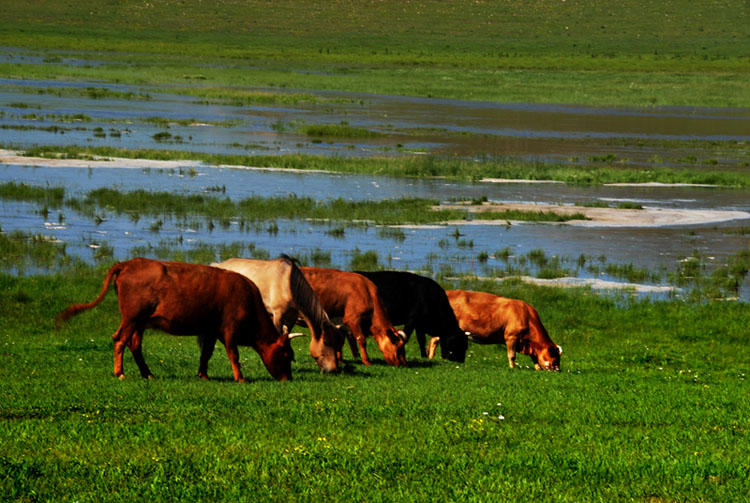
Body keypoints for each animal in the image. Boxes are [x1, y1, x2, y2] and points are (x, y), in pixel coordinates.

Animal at [55, 260, 296, 382]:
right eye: (287, 355)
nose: (288, 378)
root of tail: (129, 263)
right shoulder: (229, 329)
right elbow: (233, 355)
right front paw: (240, 378)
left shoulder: (210, 330)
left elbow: (206, 353)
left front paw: (203, 375)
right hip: (132, 317)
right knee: (120, 339)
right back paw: (120, 373)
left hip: (140, 322)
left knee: (135, 344)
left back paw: (147, 373)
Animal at [210, 258, 342, 372]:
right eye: (325, 342)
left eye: (337, 342)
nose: (333, 369)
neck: (288, 284)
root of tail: (218, 265)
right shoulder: (278, 315)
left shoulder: (291, 317)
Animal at [428, 292, 564, 370]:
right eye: (554, 356)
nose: (557, 369)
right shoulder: (511, 336)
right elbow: (512, 355)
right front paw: (512, 368)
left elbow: (534, 356)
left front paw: (537, 368)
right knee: (434, 341)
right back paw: (431, 359)